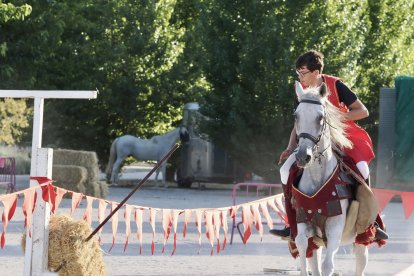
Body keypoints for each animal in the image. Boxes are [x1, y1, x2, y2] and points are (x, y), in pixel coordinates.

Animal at [292, 81, 368, 276]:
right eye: (296, 116)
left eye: (320, 118)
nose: (303, 157)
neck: (317, 177)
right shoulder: (304, 220)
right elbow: (302, 244)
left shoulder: (335, 228)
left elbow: (328, 265)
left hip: (361, 238)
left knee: (361, 260)